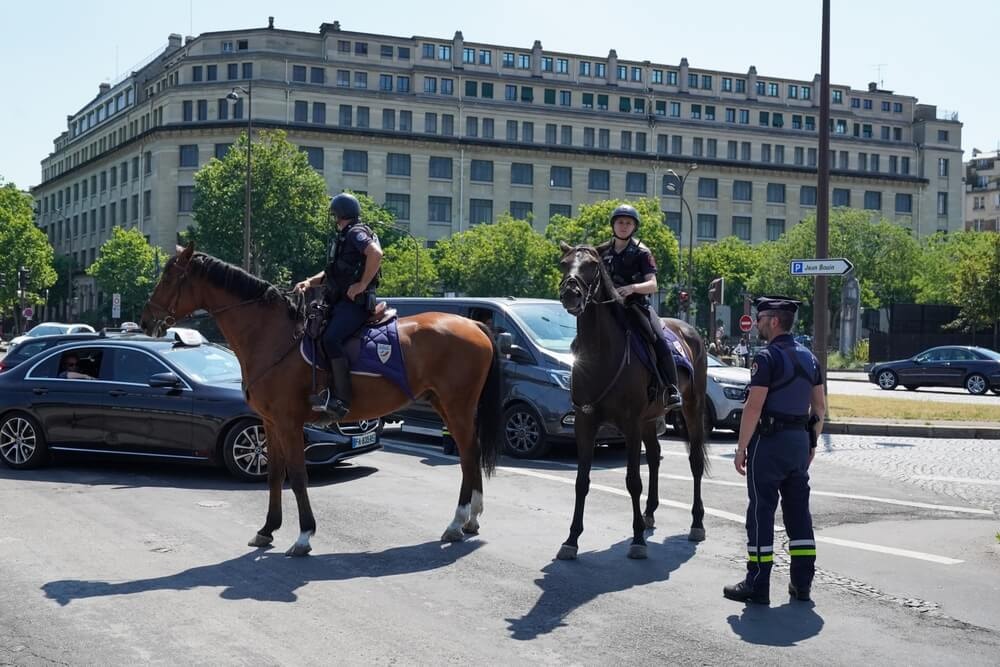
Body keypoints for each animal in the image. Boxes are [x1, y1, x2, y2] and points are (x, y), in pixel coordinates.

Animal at [140, 243, 503, 556]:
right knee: (470, 456)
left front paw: (303, 536)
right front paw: (267, 529)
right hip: (446, 405)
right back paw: (470, 519)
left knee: (468, 454)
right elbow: (274, 475)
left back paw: (458, 521)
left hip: (457, 406)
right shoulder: (269, 423)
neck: (271, 335)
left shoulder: (289, 423)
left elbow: (298, 476)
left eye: (169, 277)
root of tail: (473, 323)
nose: (145, 320)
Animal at [555, 241, 710, 560]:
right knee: (654, 456)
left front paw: (637, 539)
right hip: (650, 420)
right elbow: (581, 481)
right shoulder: (585, 422)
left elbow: (632, 481)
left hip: (691, 407)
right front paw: (571, 539)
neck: (601, 352)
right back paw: (650, 513)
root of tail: (689, 329)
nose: (570, 293)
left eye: (592, 265)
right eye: (564, 263)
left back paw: (696, 523)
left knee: (695, 461)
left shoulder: (630, 424)